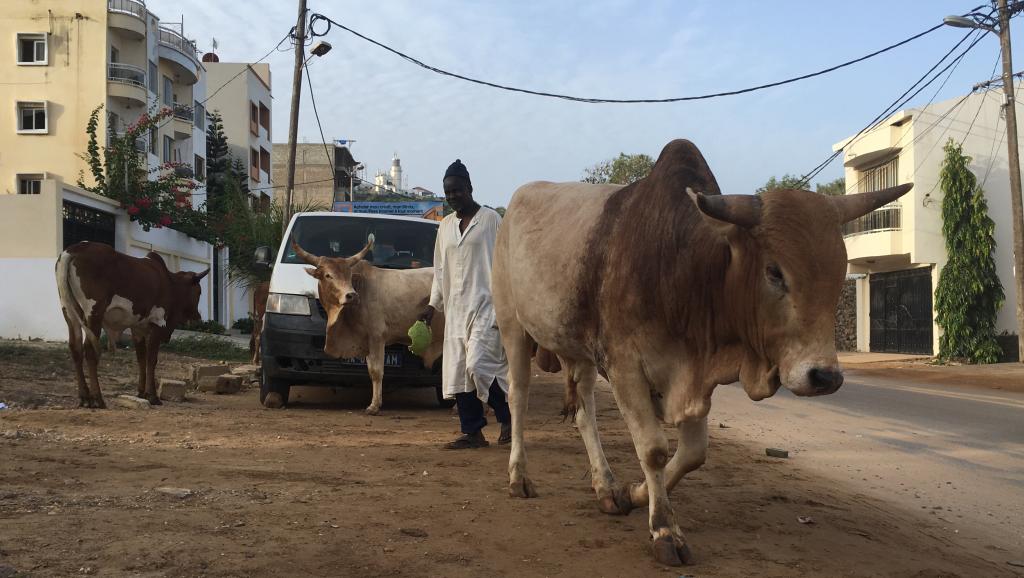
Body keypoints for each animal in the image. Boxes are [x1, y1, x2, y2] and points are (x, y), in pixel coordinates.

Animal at [57, 241, 208, 407]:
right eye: (199, 292)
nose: (198, 317)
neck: (169, 282)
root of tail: (75, 249)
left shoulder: (137, 328)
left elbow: (141, 358)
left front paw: (141, 392)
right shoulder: (158, 322)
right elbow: (151, 359)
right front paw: (153, 396)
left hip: (69, 312)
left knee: (75, 348)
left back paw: (84, 397)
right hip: (94, 313)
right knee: (90, 350)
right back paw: (98, 398)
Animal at [292, 240, 444, 416]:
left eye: (349, 275)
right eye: (328, 275)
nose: (351, 295)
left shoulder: (377, 337)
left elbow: (377, 372)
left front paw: (374, 406)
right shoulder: (366, 341)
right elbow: (371, 370)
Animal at [489, 138, 913, 565]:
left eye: (840, 271)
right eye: (775, 272)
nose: (824, 376)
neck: (684, 269)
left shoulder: (692, 374)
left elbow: (693, 453)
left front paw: (633, 492)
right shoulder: (625, 366)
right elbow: (654, 449)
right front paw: (664, 530)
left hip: (578, 351)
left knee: (583, 412)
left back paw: (606, 488)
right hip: (512, 327)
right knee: (518, 397)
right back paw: (519, 476)